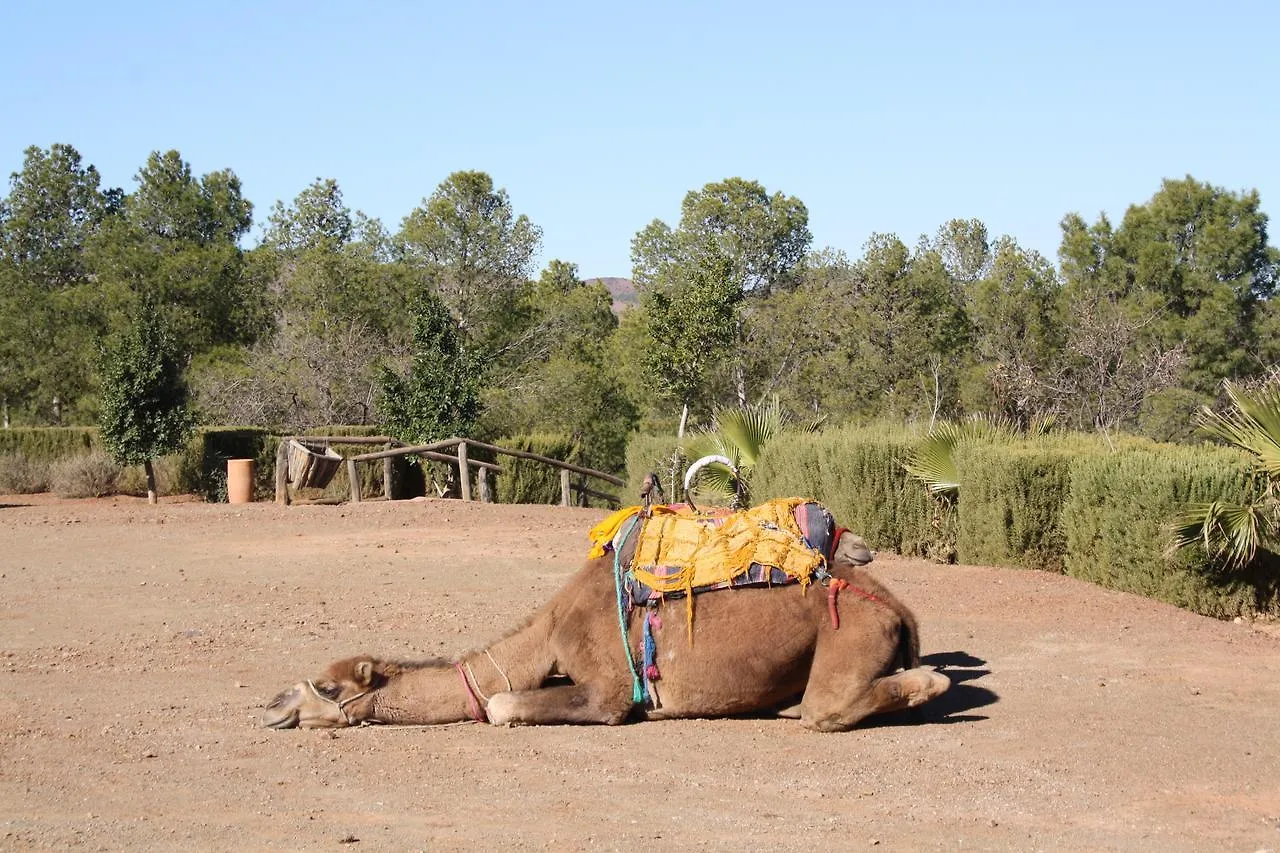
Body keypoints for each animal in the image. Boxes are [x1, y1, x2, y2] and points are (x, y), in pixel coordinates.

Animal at [264, 512, 952, 732]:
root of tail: (898, 607)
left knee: (831, 706)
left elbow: (501, 706)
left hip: (848, 630)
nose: (271, 705)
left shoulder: (611, 689)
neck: (547, 634)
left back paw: (930, 685)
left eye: (326, 687)